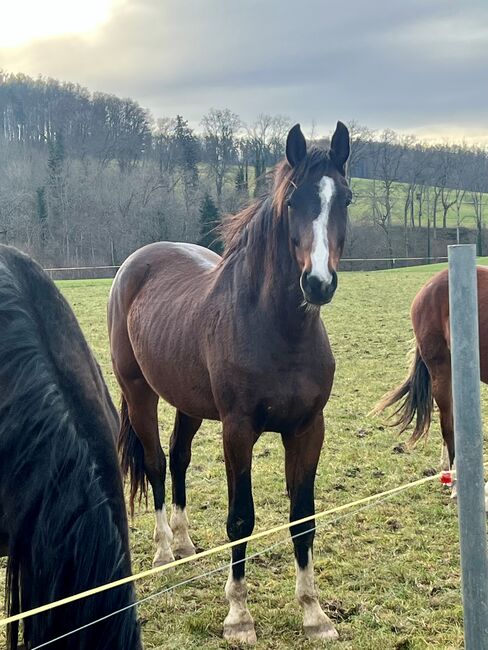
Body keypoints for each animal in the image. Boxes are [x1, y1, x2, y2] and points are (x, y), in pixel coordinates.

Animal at [107, 120, 350, 636]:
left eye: (345, 198)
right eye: (293, 201)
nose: (318, 283)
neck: (278, 330)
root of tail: (136, 263)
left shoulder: (307, 430)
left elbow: (303, 518)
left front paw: (314, 614)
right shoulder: (238, 431)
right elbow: (241, 519)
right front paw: (239, 615)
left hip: (189, 404)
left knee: (178, 458)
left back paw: (183, 544)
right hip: (140, 394)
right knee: (156, 462)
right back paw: (164, 552)